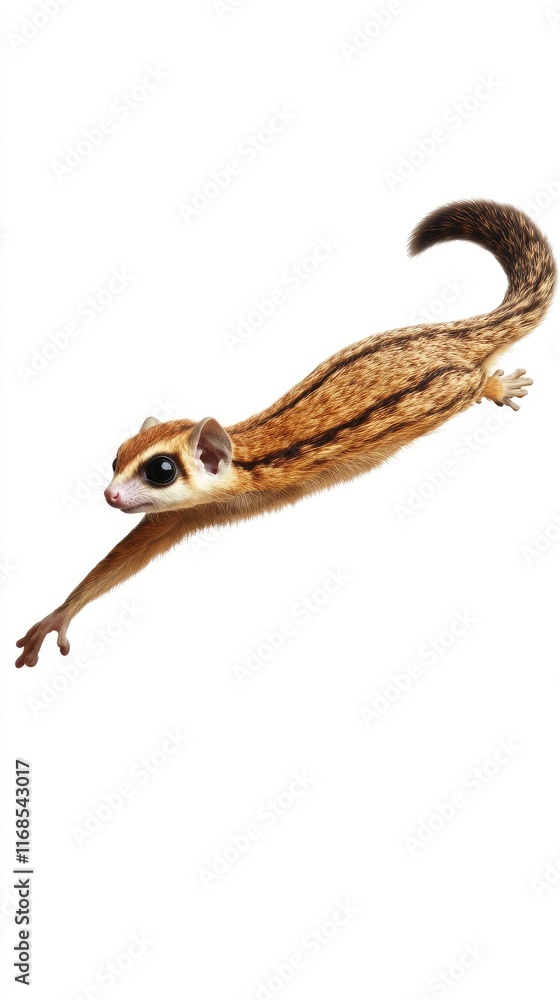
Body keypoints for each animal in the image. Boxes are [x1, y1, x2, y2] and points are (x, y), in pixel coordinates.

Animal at [16, 200, 556, 668]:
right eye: (114, 459)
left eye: (161, 470)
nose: (109, 495)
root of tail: (450, 334)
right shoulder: (187, 515)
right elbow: (126, 555)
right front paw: (58, 615)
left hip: (449, 390)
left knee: (475, 380)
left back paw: (498, 384)